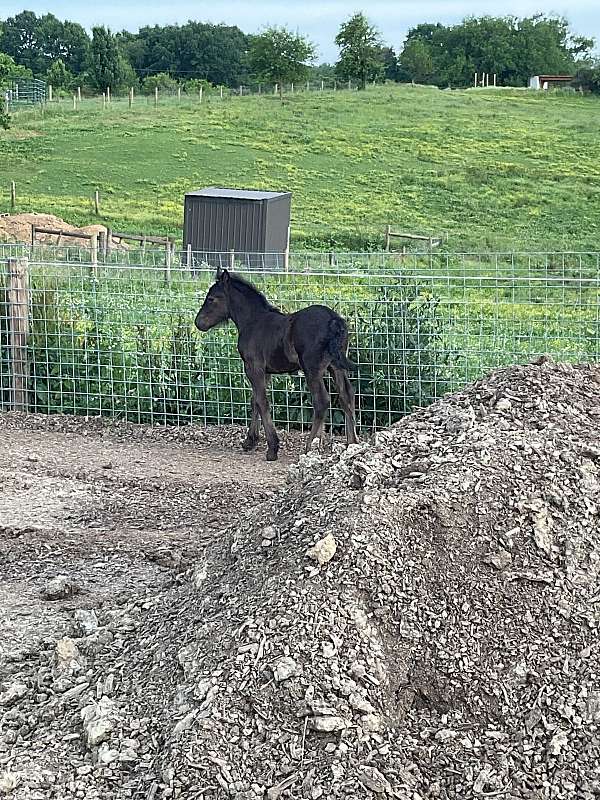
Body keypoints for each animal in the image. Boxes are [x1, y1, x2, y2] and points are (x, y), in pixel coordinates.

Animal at [194, 269, 358, 461]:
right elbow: (254, 401)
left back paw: (309, 447)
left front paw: (272, 448)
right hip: (336, 366)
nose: (198, 322)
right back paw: (352, 443)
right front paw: (250, 441)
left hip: (312, 369)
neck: (253, 321)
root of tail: (334, 320)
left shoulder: (253, 367)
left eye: (212, 298)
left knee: (321, 401)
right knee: (346, 395)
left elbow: (262, 401)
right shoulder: (265, 372)